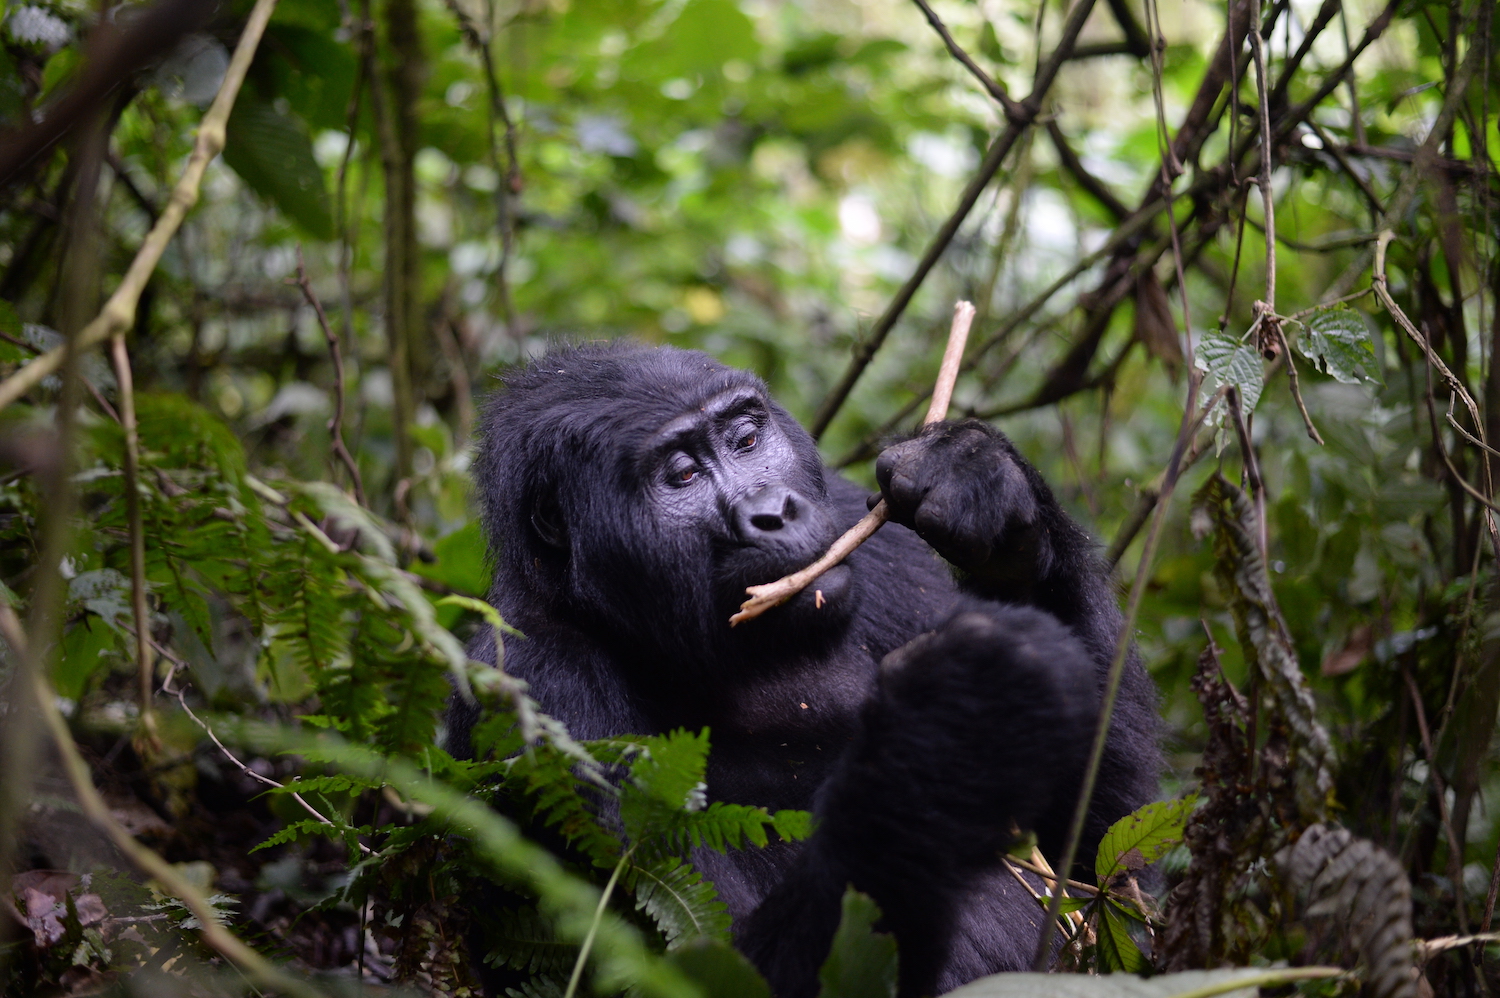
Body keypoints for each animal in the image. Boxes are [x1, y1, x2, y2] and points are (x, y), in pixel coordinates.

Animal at [456, 340, 1158, 990]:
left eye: (746, 439)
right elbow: (703, 967)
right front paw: (959, 712)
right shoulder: (539, 683)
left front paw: (988, 487)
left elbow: (1105, 871)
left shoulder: (862, 530)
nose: (774, 510)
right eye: (680, 476)